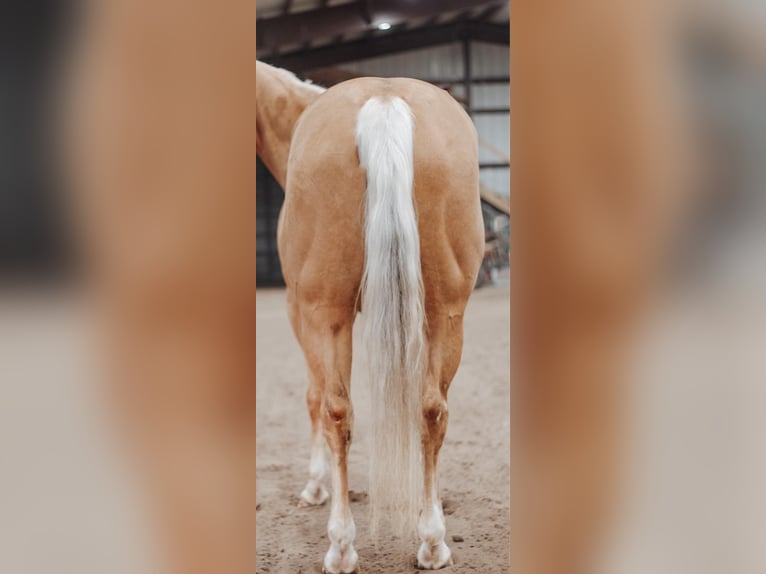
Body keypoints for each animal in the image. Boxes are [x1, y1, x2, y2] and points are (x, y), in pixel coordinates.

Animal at [256, 61, 485, 572]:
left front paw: (315, 485)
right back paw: (432, 542)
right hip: (447, 312)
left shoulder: (300, 311)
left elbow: (314, 399)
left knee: (337, 411)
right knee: (432, 410)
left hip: (327, 314)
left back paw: (341, 547)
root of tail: (384, 102)